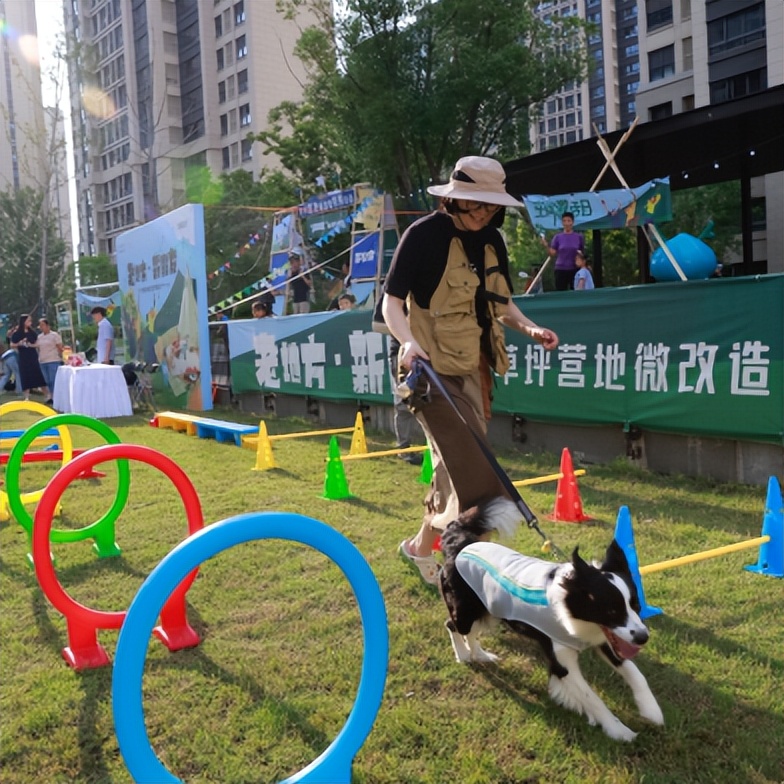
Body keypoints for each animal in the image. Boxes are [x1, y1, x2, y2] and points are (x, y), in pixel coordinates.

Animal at [438, 496, 664, 740]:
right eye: (611, 611)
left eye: (636, 606)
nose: (642, 637)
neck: (569, 604)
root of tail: (461, 545)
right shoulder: (562, 660)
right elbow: (592, 698)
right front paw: (618, 730)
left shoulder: (605, 638)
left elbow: (635, 672)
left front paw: (651, 710)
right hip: (467, 609)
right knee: (453, 625)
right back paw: (463, 655)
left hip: (488, 609)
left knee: (471, 631)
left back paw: (480, 654)